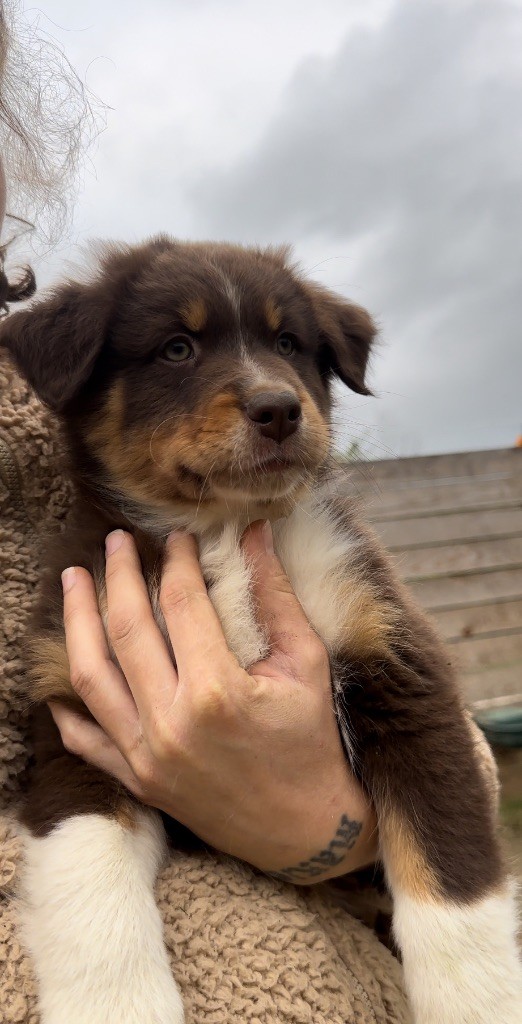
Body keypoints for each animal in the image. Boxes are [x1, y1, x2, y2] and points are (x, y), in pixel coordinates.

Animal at [2, 235, 519, 1019]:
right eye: (177, 348)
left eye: (287, 343)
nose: (278, 408)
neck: (223, 528)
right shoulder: (75, 716)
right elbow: (87, 873)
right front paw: (119, 1003)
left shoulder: (400, 667)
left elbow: (452, 875)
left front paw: (477, 1005)